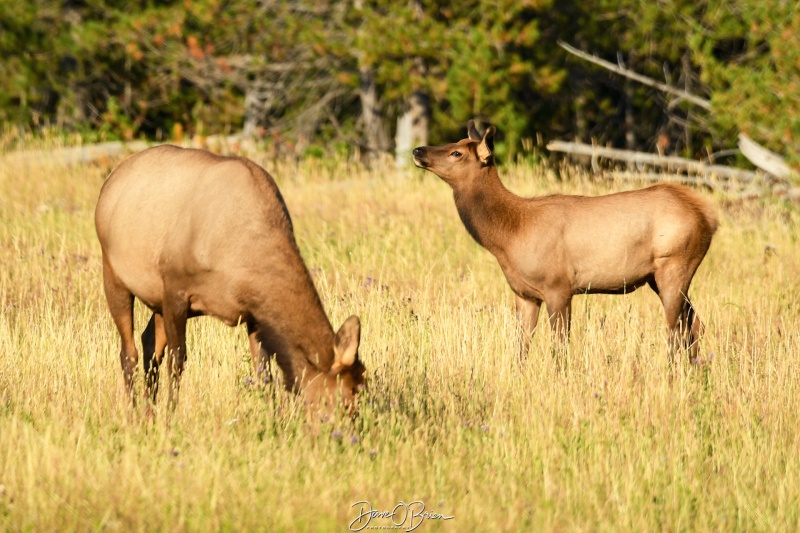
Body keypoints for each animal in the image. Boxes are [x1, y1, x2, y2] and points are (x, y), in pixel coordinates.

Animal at [94, 147, 366, 416]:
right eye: (343, 399)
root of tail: (109, 182)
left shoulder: (252, 311)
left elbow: (262, 370)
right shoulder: (174, 287)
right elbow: (177, 361)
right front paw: (171, 416)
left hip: (157, 301)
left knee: (149, 343)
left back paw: (148, 413)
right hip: (113, 273)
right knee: (129, 351)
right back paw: (134, 413)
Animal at [412, 122, 720, 360]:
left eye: (457, 152)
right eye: (455, 142)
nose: (418, 150)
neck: (509, 236)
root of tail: (709, 216)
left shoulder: (558, 286)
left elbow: (560, 347)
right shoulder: (524, 294)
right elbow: (521, 348)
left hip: (675, 264)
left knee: (676, 331)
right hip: (657, 277)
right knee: (695, 325)